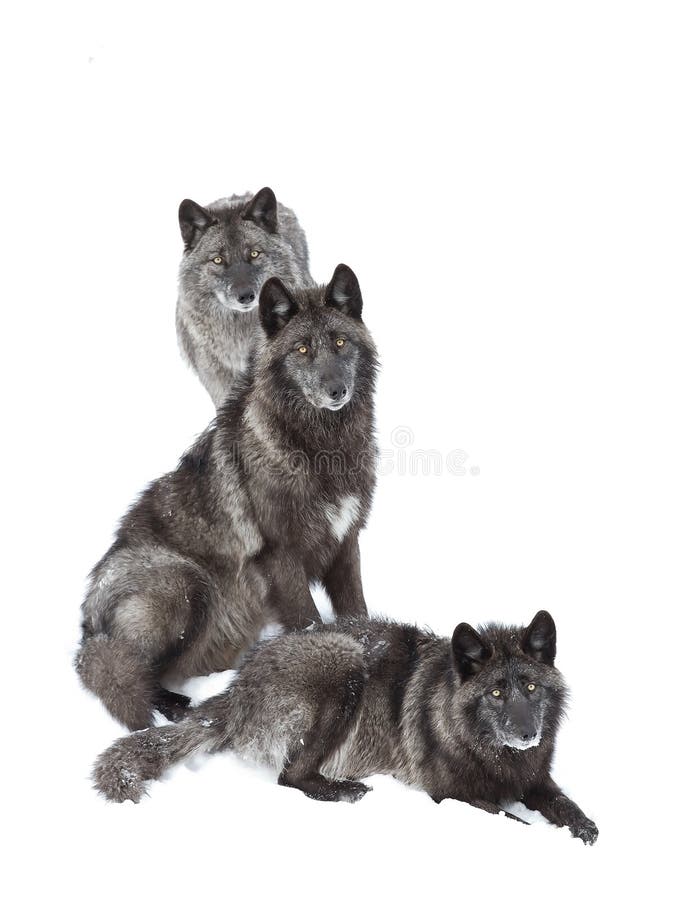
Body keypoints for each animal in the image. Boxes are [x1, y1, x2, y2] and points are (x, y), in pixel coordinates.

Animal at [76, 264, 377, 731]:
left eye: (340, 342)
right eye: (302, 349)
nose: (336, 391)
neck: (322, 448)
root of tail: (88, 624)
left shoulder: (346, 543)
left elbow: (357, 612)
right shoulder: (280, 558)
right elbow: (309, 622)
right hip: (185, 583)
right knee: (131, 673)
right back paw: (179, 708)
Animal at [92, 611, 598, 845]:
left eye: (530, 687)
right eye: (495, 693)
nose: (527, 734)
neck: (493, 754)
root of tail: (237, 687)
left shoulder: (534, 779)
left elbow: (567, 806)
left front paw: (583, 827)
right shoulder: (449, 795)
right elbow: (512, 819)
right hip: (344, 665)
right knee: (291, 777)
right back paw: (346, 790)